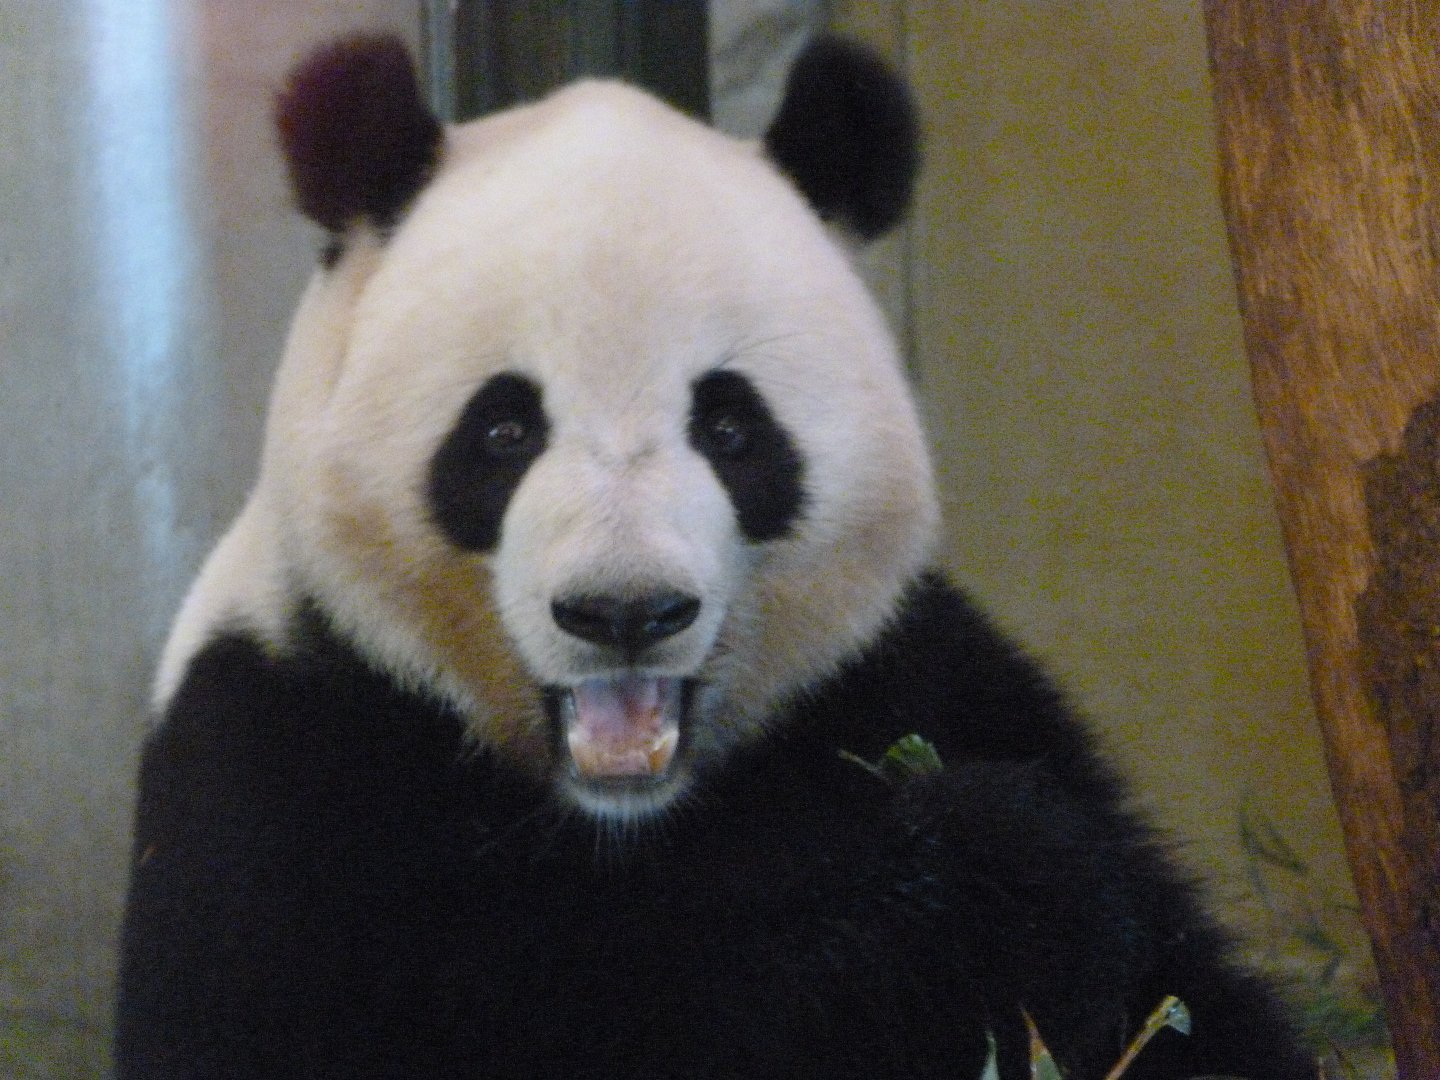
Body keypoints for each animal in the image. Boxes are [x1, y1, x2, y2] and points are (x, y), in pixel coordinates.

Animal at [115, 34, 1319, 1080]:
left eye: (731, 427)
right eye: (502, 430)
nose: (624, 612)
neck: (623, 815)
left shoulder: (915, 672)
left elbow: (1181, 990)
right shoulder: (279, 772)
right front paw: (975, 874)